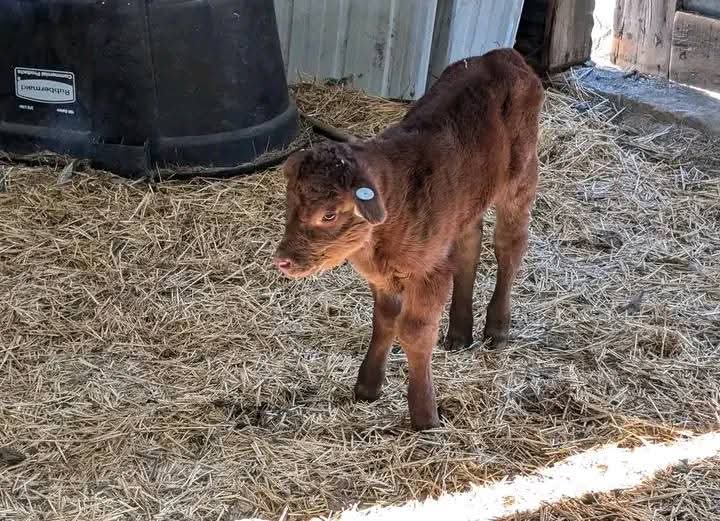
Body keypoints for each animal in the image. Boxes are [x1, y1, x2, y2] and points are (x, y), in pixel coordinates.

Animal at [273, 48, 544, 430]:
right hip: (466, 204)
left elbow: (414, 332)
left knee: (510, 245)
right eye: (290, 205)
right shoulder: (384, 277)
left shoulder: (427, 272)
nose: (282, 259)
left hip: (522, 178)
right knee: (468, 246)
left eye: (328, 214)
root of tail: (502, 55)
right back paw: (459, 333)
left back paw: (497, 329)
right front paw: (367, 386)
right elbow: (384, 320)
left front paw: (424, 415)